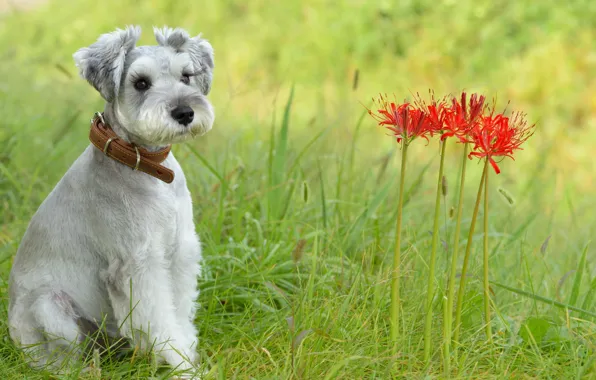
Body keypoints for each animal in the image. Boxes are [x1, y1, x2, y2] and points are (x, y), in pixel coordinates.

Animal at [6, 24, 214, 378]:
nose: (185, 112)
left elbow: (179, 316)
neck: (146, 166)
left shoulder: (179, 254)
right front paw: (185, 369)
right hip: (50, 306)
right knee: (56, 359)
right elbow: (163, 324)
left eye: (186, 76)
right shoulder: (137, 266)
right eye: (140, 82)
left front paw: (187, 358)